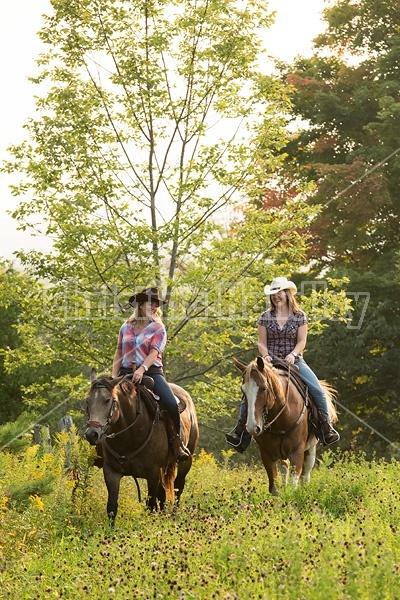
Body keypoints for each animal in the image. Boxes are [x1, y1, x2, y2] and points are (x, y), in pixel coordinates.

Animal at [85, 372, 198, 524]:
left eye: (107, 400)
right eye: (88, 401)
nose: (92, 434)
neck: (129, 436)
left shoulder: (152, 473)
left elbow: (150, 505)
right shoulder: (111, 472)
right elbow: (112, 507)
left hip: (186, 461)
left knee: (177, 488)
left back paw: (174, 516)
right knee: (163, 493)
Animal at [233, 358, 336, 494]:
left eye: (263, 388)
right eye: (243, 390)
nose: (252, 427)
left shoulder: (296, 451)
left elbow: (294, 484)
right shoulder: (265, 453)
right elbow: (274, 487)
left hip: (311, 448)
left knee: (306, 475)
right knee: (284, 470)